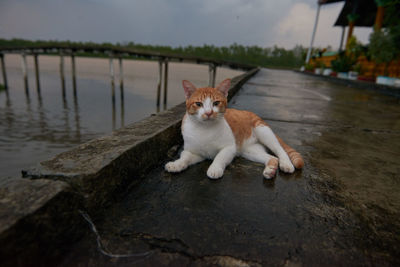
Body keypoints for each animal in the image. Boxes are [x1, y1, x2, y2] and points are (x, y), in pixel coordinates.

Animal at [165, 79, 304, 180]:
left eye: (216, 103)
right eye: (198, 104)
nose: (209, 113)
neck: (204, 129)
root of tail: (250, 112)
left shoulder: (230, 148)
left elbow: (219, 157)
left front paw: (214, 168)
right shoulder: (194, 152)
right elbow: (185, 157)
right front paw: (176, 164)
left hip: (263, 132)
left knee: (279, 150)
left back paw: (286, 164)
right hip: (249, 151)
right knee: (272, 157)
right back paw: (270, 170)